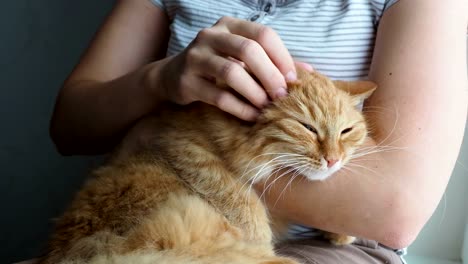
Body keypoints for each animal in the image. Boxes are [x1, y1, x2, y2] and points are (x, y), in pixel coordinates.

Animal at [39, 70, 376, 264]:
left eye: (346, 131)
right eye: (307, 128)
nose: (333, 160)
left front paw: (340, 234)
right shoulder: (187, 149)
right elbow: (242, 201)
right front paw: (260, 239)